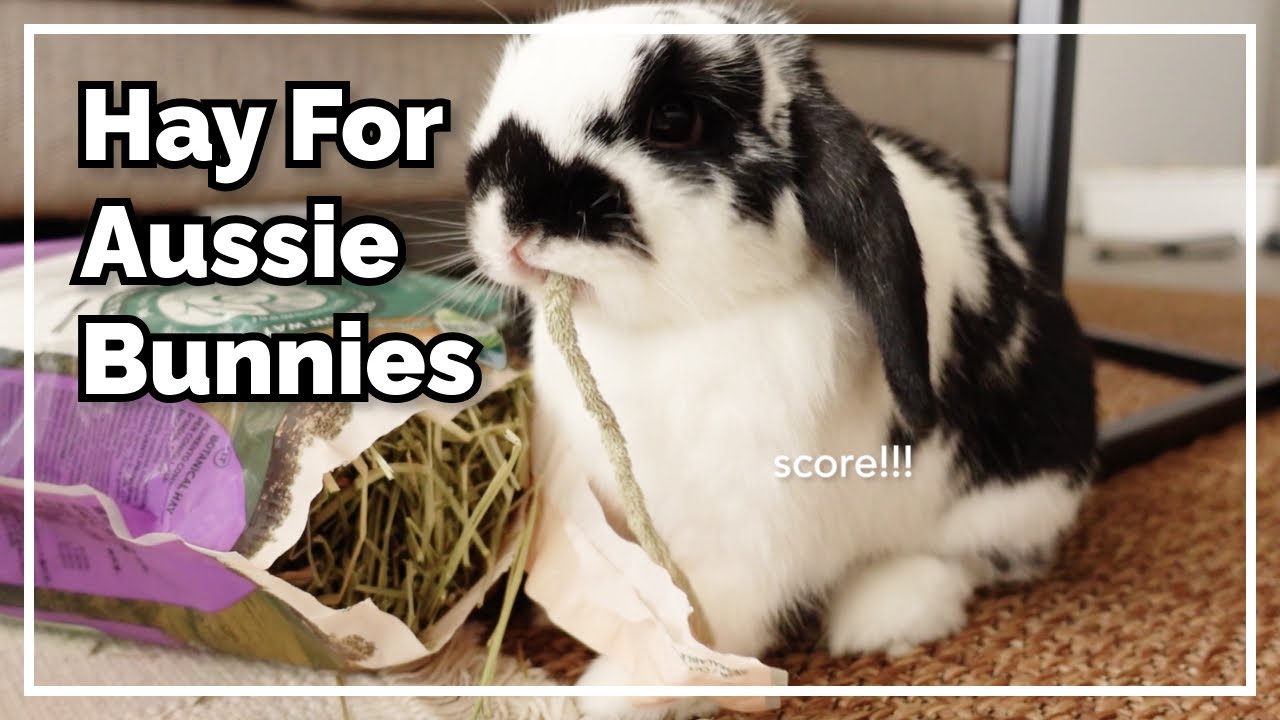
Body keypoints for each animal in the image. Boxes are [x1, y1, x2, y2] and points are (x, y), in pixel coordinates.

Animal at [464, 2, 1097, 718]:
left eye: (673, 120)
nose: (511, 217)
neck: (673, 326)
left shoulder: (745, 534)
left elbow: (713, 620)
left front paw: (624, 692)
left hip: (1014, 498)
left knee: (969, 559)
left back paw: (882, 616)